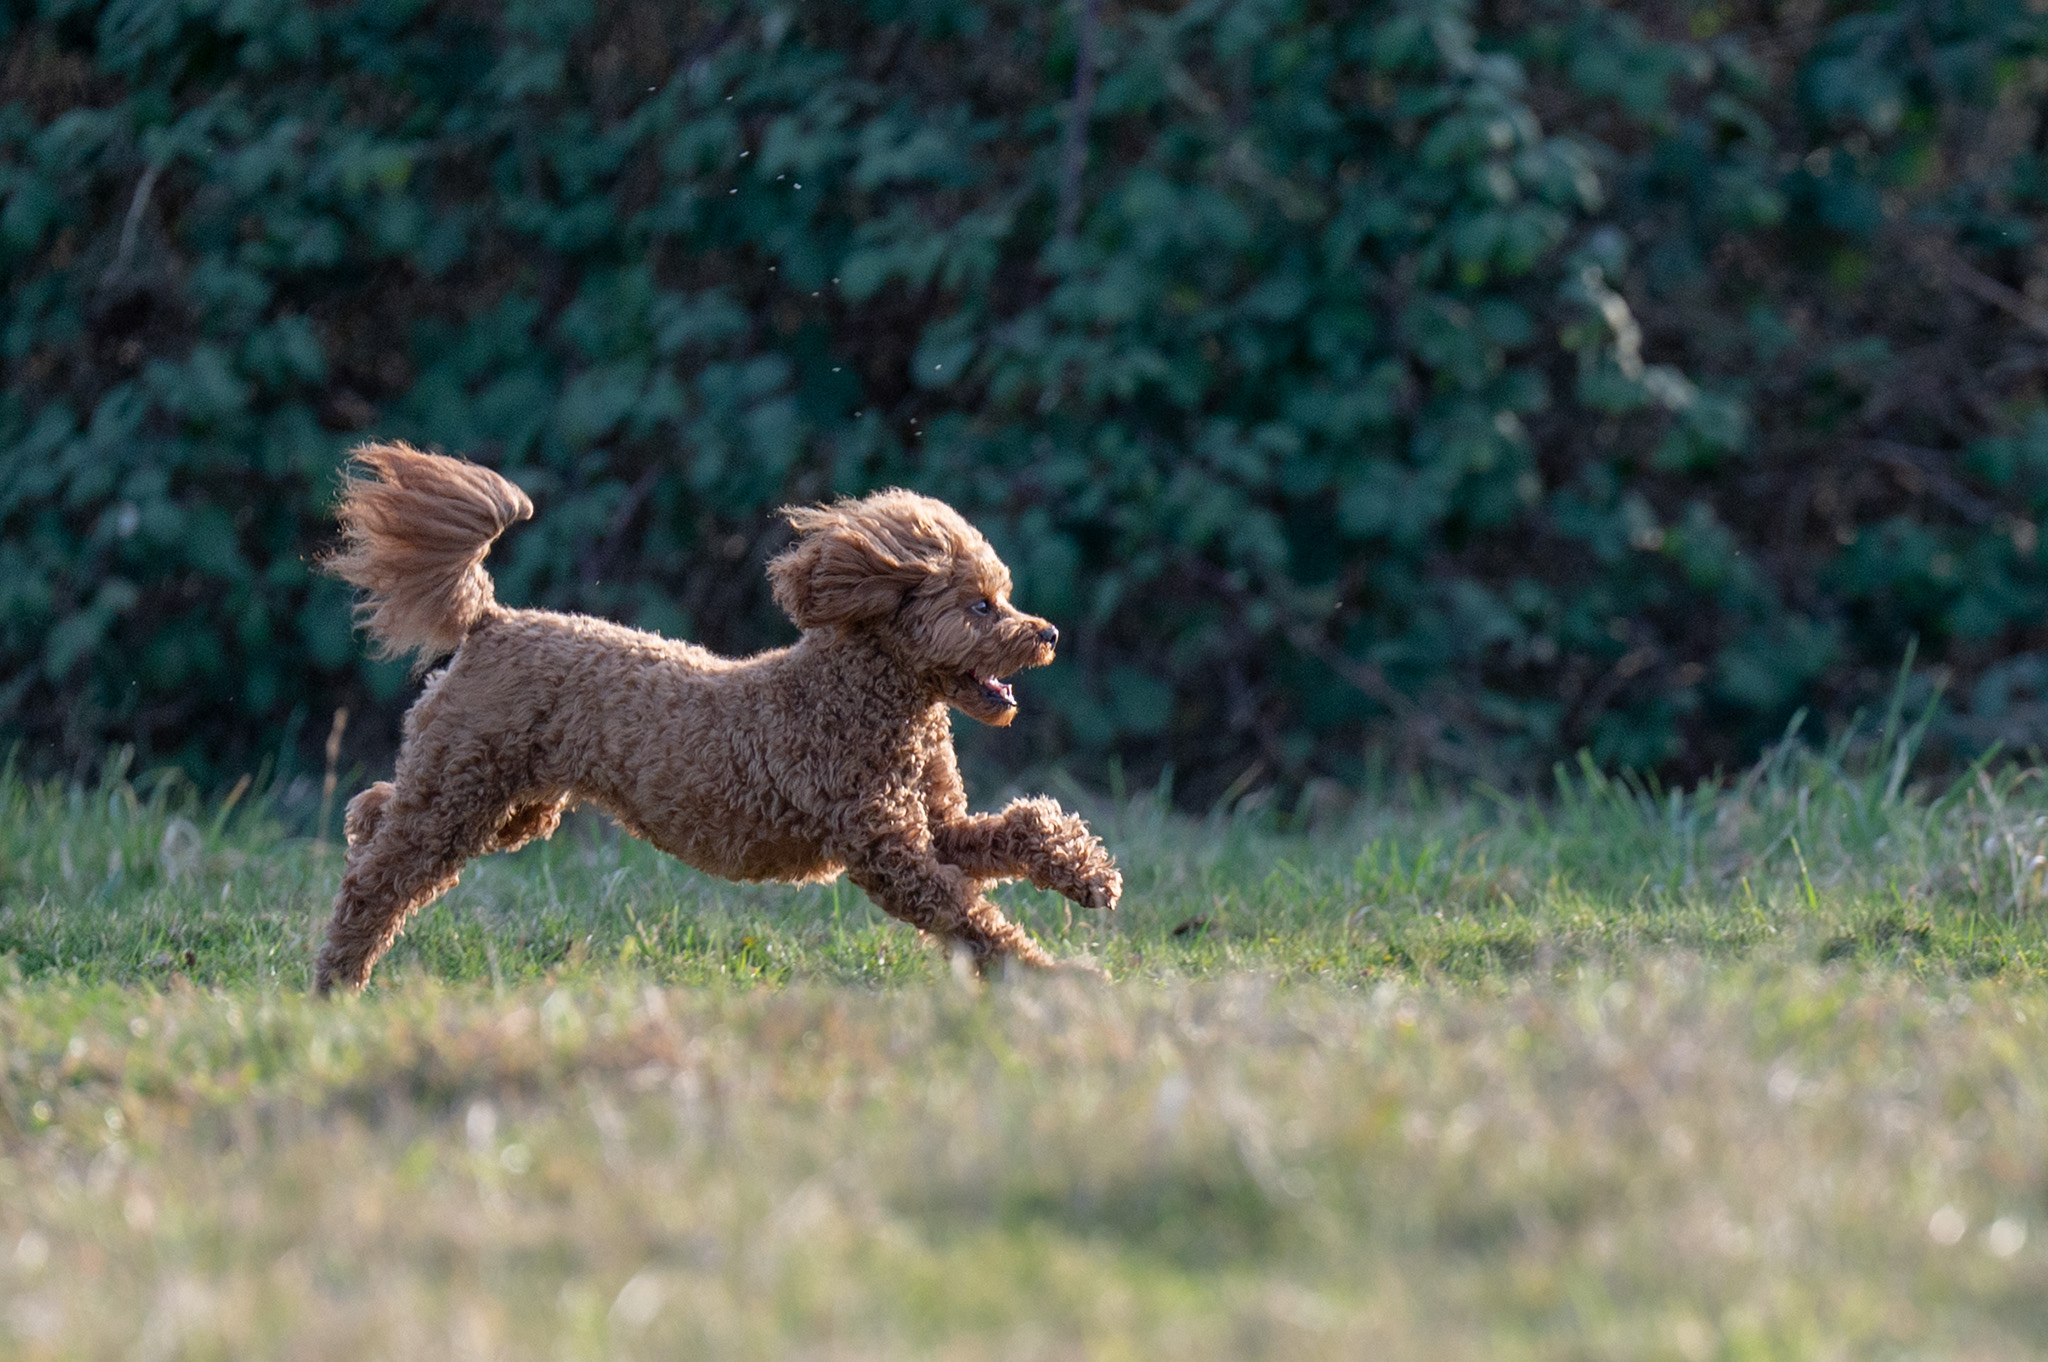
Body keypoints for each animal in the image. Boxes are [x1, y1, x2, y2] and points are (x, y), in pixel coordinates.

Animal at [312, 442, 1122, 993]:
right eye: (980, 606)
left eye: (1004, 596)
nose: (1047, 633)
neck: (868, 696)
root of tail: (492, 619)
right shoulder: (887, 851)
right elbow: (969, 919)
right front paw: (1053, 976)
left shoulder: (936, 826)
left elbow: (1019, 829)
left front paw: (1088, 876)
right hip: (465, 792)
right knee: (378, 883)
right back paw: (336, 981)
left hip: (506, 803)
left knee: (379, 811)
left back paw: (357, 843)